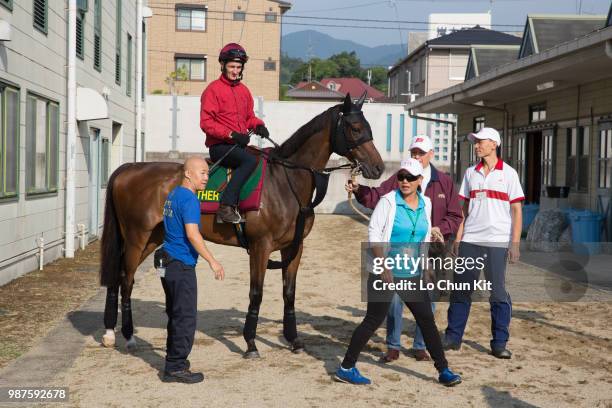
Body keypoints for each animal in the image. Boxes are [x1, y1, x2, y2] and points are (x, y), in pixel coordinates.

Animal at [100, 92, 384, 356]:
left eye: (369, 126)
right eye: (355, 128)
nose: (378, 167)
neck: (284, 181)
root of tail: (128, 168)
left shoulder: (294, 248)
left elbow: (289, 294)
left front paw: (293, 339)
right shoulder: (260, 247)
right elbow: (256, 293)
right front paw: (250, 343)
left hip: (151, 239)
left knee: (119, 276)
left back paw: (110, 333)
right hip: (137, 238)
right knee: (126, 279)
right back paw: (128, 336)